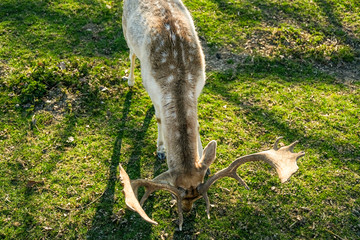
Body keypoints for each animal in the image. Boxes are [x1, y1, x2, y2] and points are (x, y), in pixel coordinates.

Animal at [119, 0, 306, 231]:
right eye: (177, 192)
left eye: (198, 191)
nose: (187, 211)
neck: (177, 77)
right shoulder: (152, 89)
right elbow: (160, 118)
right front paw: (161, 149)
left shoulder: (199, 84)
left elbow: (197, 125)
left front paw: (202, 158)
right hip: (125, 27)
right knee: (131, 54)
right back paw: (129, 81)